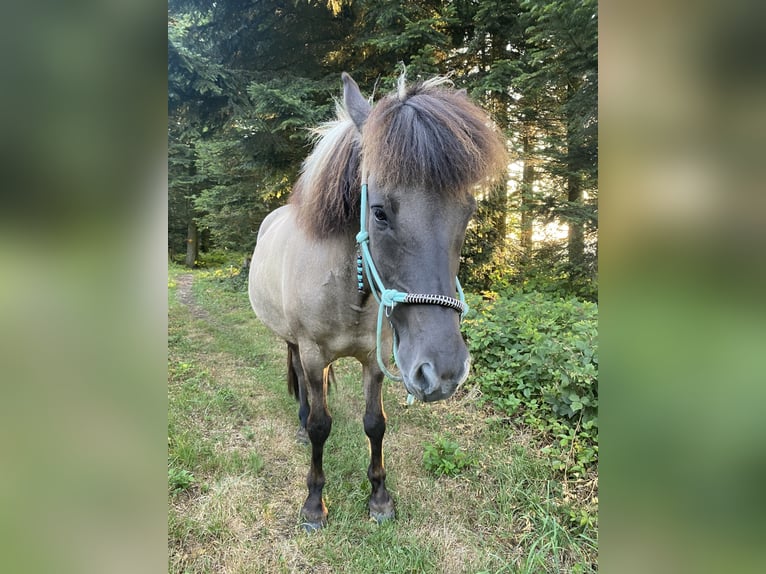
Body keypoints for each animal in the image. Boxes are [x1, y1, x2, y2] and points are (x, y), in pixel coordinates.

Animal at [248, 71, 506, 530]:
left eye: (468, 211)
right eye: (380, 212)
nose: (443, 372)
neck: (349, 290)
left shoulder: (376, 357)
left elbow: (375, 424)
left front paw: (380, 498)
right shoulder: (314, 355)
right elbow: (322, 426)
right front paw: (314, 504)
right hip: (294, 342)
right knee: (298, 376)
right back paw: (299, 424)